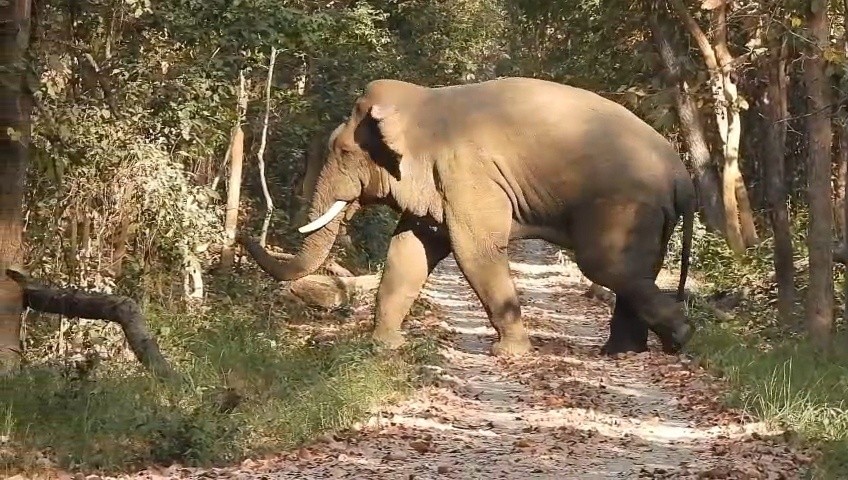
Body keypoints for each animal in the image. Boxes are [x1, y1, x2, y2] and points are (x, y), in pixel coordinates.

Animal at [239, 76, 696, 356]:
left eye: (345, 151)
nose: (242, 236)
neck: (423, 103)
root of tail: (682, 176)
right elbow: (409, 249)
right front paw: (385, 345)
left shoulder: (467, 171)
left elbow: (475, 251)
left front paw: (509, 353)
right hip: (652, 217)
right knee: (635, 270)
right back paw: (624, 352)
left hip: (626, 206)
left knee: (606, 265)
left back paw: (680, 337)